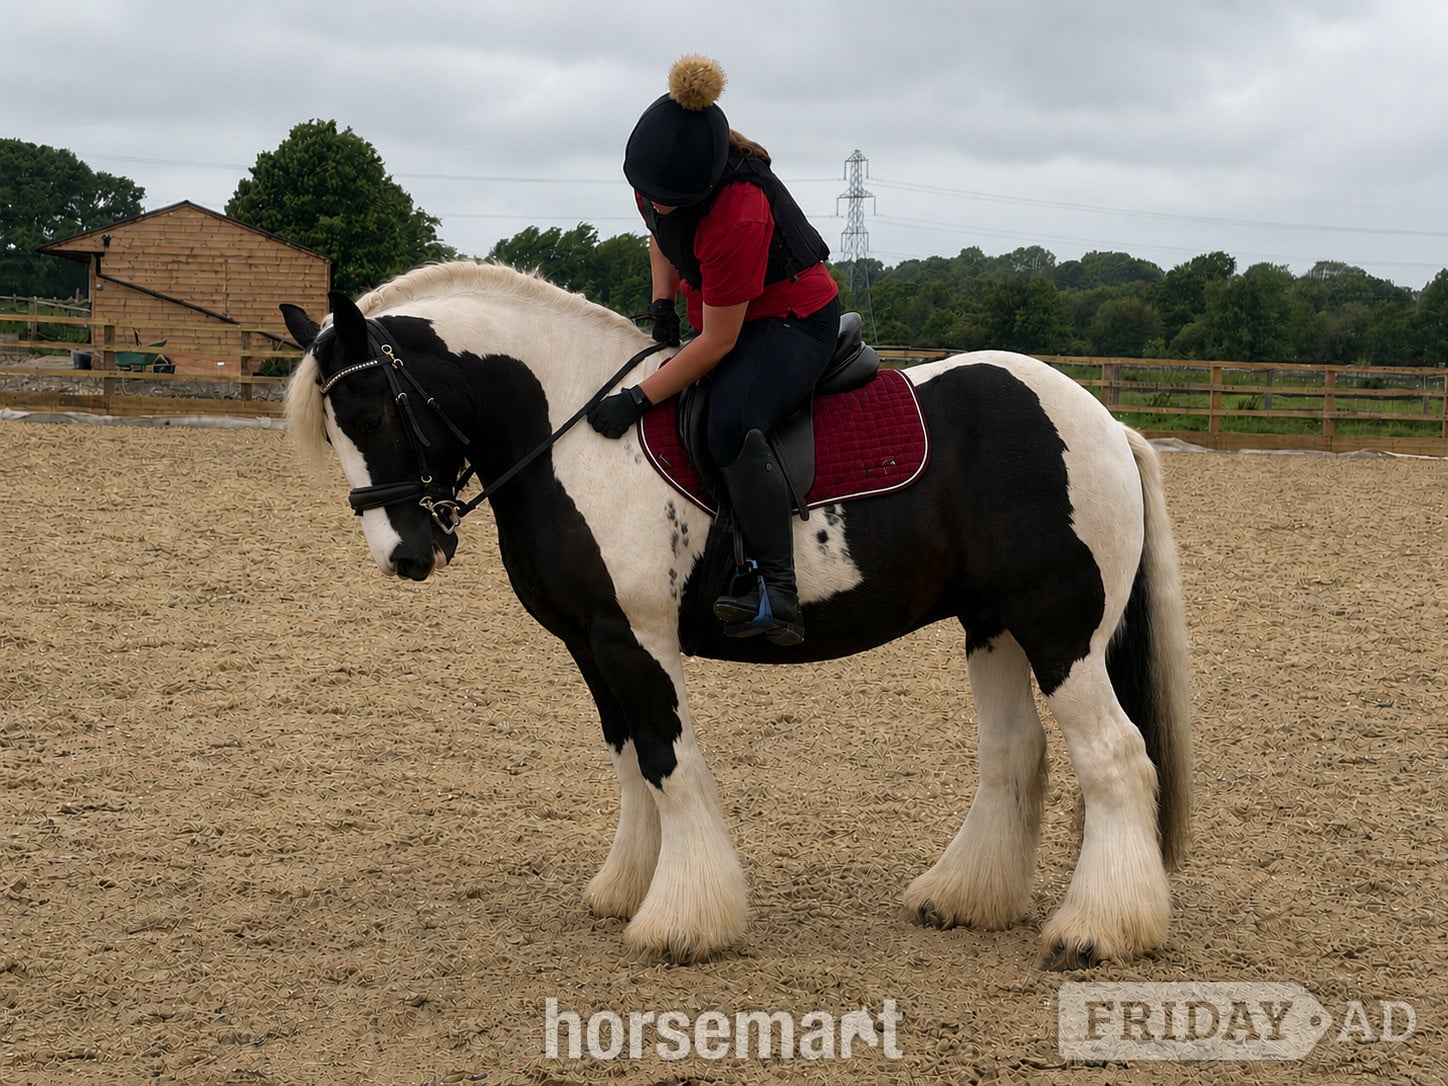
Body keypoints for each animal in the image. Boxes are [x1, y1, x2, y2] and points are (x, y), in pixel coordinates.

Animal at [281, 261, 1191, 970]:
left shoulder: (637, 640)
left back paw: (1097, 931)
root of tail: (1106, 423)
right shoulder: (592, 645)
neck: (576, 434)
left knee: (1116, 758)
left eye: (370, 411)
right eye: (333, 425)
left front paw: (683, 920)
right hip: (992, 625)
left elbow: (668, 762)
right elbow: (630, 763)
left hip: (1060, 631)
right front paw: (628, 887)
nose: (405, 554)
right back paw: (965, 897)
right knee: (1016, 753)